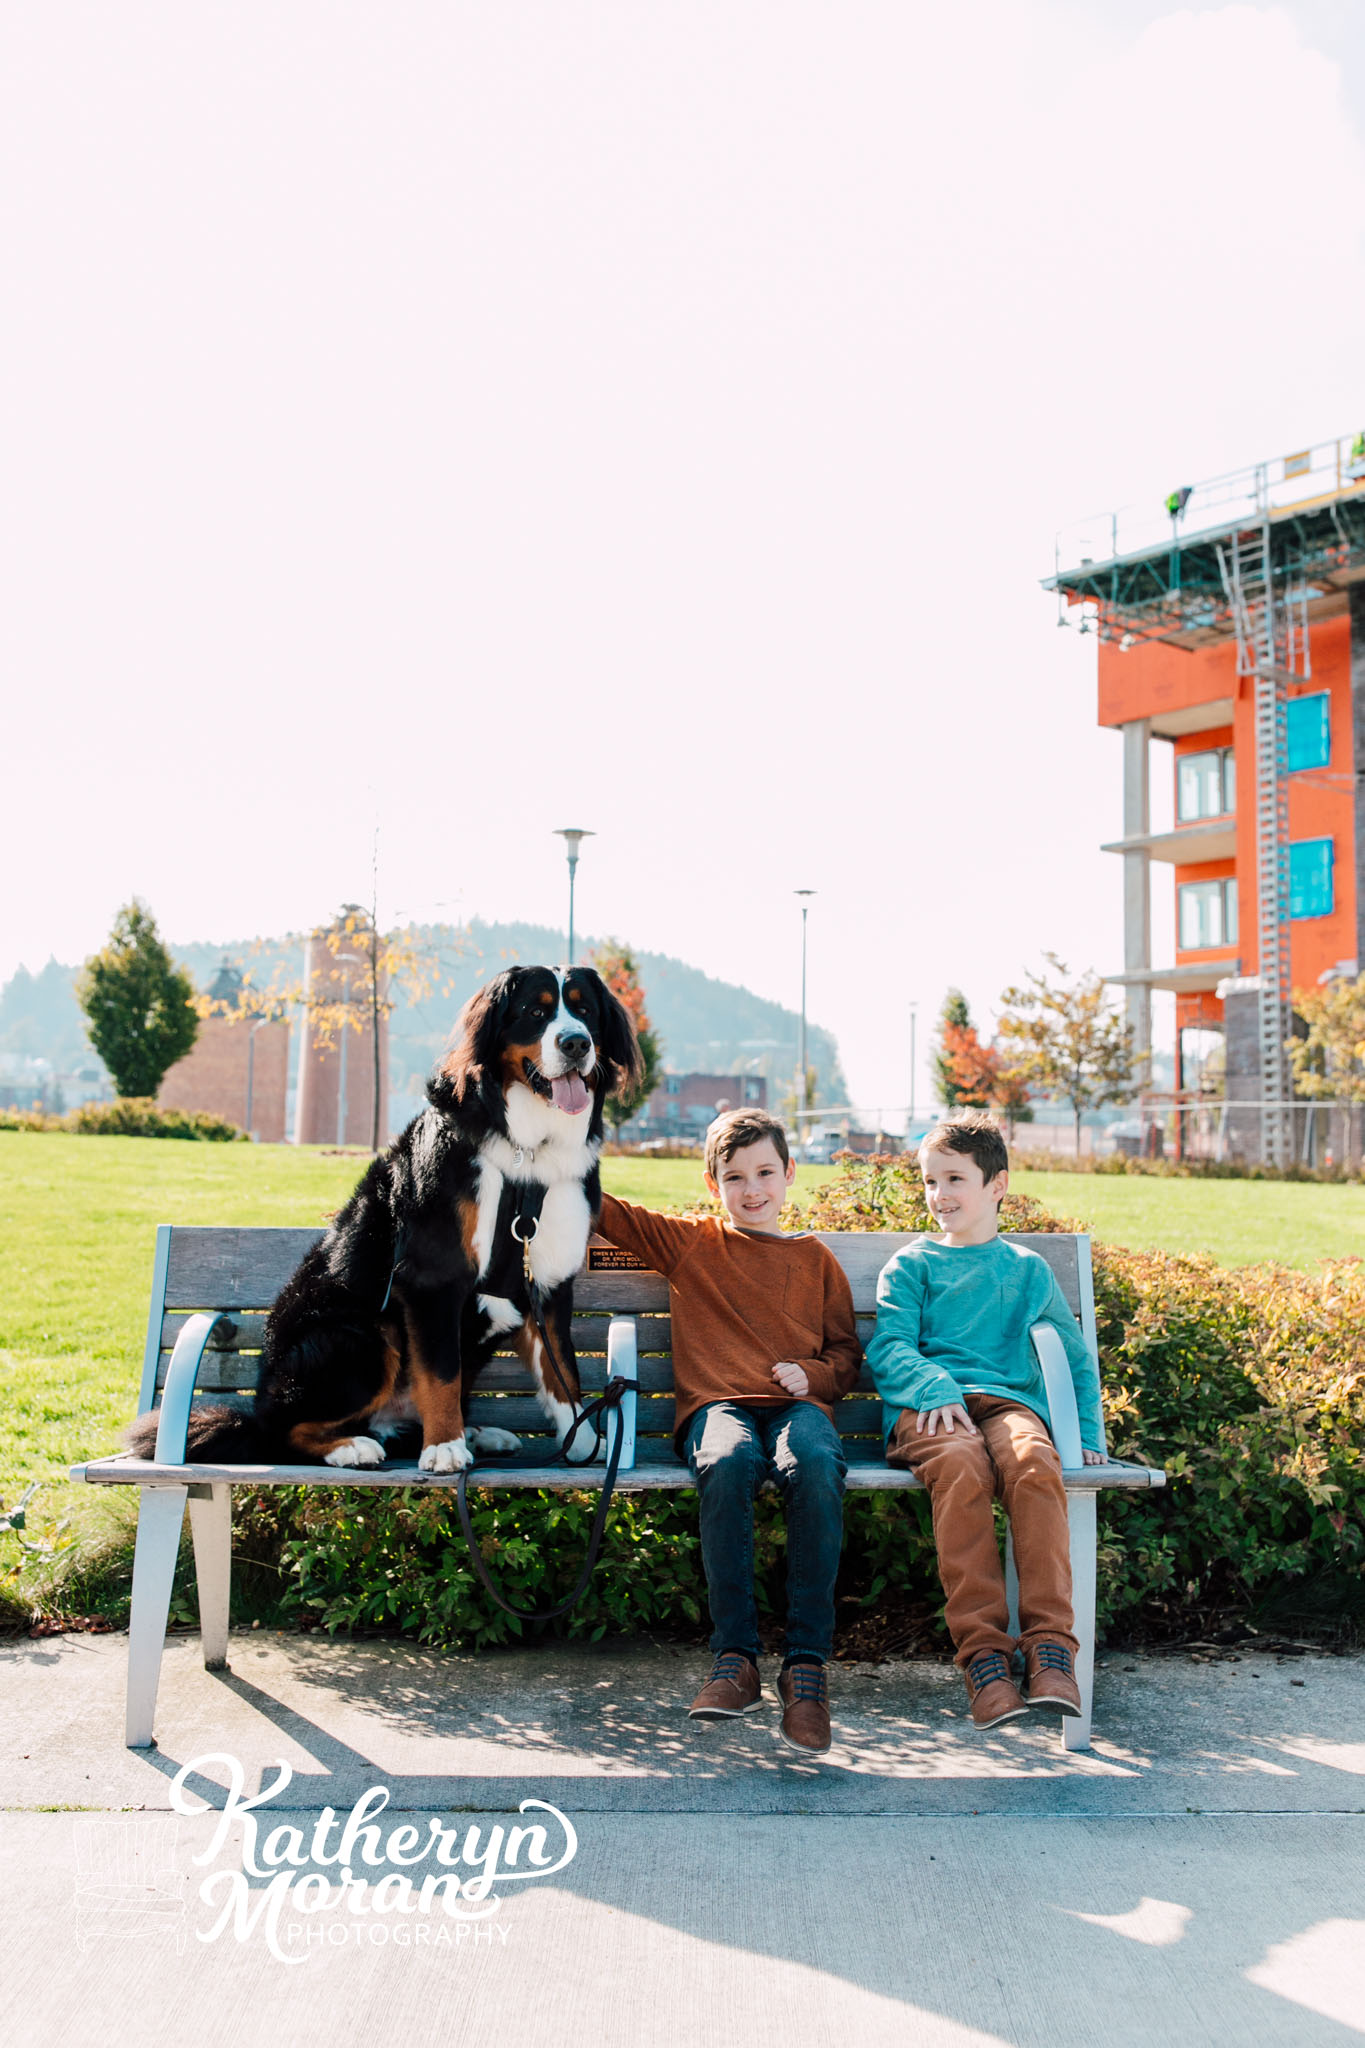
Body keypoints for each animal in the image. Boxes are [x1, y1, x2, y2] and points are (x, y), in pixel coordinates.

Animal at [131, 970, 642, 1474]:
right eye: (536, 1011)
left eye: (584, 1010)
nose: (575, 1043)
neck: (528, 1159)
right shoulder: (433, 1276)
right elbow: (440, 1372)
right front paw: (445, 1449)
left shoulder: (549, 1280)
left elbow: (563, 1372)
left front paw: (583, 1440)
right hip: (362, 1335)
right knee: (280, 1432)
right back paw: (354, 1446)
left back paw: (478, 1433)